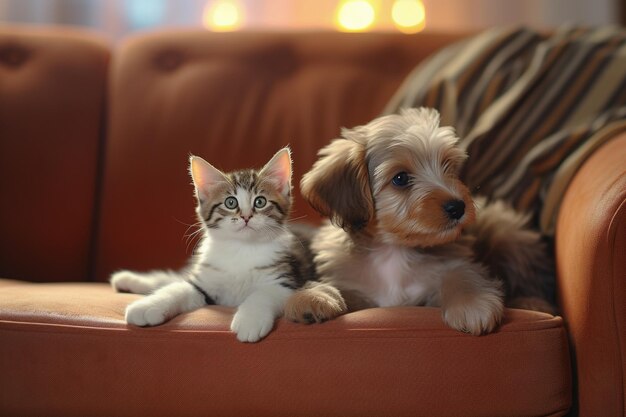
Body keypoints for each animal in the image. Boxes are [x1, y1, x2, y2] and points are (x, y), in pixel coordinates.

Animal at [110, 147, 314, 342]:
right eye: (230, 202)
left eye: (260, 202)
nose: (246, 216)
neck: (241, 249)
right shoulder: (204, 282)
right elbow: (178, 288)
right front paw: (148, 306)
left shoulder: (287, 281)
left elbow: (262, 294)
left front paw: (249, 320)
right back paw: (128, 280)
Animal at [282, 107, 552, 334]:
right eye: (401, 178)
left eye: (447, 167)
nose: (458, 206)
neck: (394, 251)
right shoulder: (356, 287)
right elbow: (342, 290)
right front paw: (314, 297)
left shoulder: (448, 269)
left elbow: (460, 275)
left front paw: (472, 303)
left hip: (508, 235)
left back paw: (534, 304)